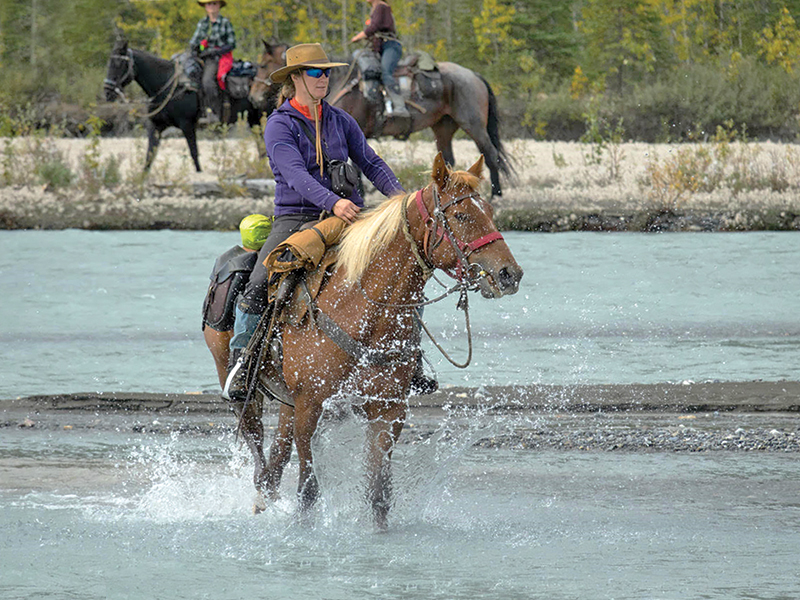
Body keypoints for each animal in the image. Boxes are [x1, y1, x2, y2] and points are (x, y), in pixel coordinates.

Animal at [104, 38, 270, 172]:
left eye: (119, 63)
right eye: (109, 62)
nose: (107, 91)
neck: (167, 86)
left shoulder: (187, 125)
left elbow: (194, 154)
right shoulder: (155, 126)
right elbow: (149, 156)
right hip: (253, 118)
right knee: (261, 146)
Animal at [237, 152, 523, 528]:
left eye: (489, 210)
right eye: (461, 215)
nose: (509, 274)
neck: (362, 312)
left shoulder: (387, 411)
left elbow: (378, 494)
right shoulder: (310, 405)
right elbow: (308, 492)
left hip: (288, 404)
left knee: (275, 462)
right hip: (259, 396)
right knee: (263, 455)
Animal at [329, 57, 515, 198]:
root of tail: (473, 75)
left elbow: (357, 168)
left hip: (474, 126)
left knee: (491, 154)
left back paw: (496, 196)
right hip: (443, 127)